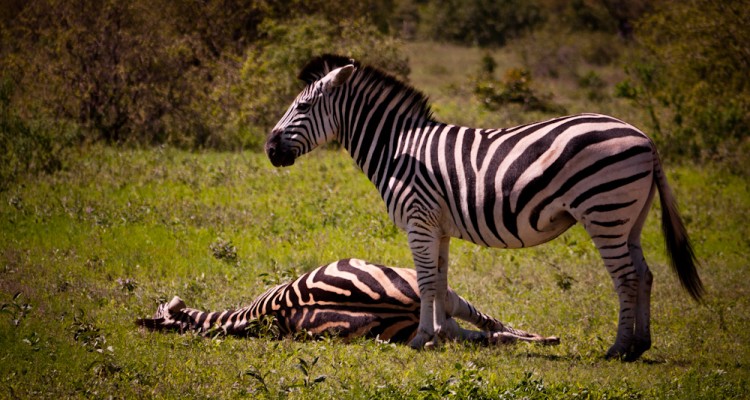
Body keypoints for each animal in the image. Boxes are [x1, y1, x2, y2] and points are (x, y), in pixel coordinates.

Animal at [264, 54, 703, 361]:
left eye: (302, 108)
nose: (269, 150)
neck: (397, 149)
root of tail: (644, 138)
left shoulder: (418, 220)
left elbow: (427, 283)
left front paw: (422, 338)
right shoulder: (437, 226)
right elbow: (439, 282)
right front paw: (441, 336)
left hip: (604, 211)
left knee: (626, 278)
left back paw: (619, 349)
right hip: (629, 217)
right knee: (644, 274)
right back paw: (640, 344)